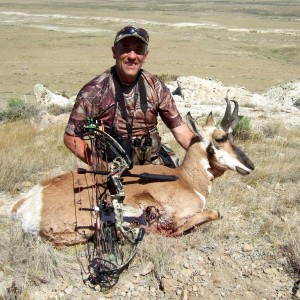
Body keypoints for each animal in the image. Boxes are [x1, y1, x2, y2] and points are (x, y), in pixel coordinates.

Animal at [11, 98, 253, 246]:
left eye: (232, 136)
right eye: (220, 138)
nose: (250, 165)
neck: (187, 180)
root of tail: (25, 203)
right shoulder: (176, 216)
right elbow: (212, 214)